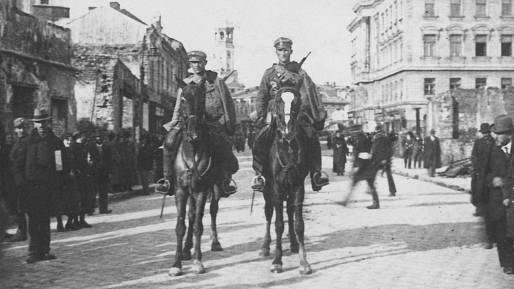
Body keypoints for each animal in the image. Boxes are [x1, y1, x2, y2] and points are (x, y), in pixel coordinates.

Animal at [167, 80, 223, 276]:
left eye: (202, 99)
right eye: (182, 99)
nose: (193, 134)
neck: (192, 152)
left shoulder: (201, 190)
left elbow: (199, 225)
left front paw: (198, 262)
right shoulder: (181, 190)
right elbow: (180, 226)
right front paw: (176, 264)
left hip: (214, 189)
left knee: (212, 211)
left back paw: (215, 242)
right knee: (190, 216)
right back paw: (186, 250)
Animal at [258, 86, 310, 274]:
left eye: (297, 102)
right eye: (277, 101)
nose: (288, 131)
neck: (287, 147)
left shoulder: (298, 187)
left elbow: (299, 224)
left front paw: (304, 263)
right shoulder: (276, 189)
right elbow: (278, 224)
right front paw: (277, 261)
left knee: (289, 212)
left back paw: (294, 244)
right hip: (267, 190)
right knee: (268, 213)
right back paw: (265, 247)